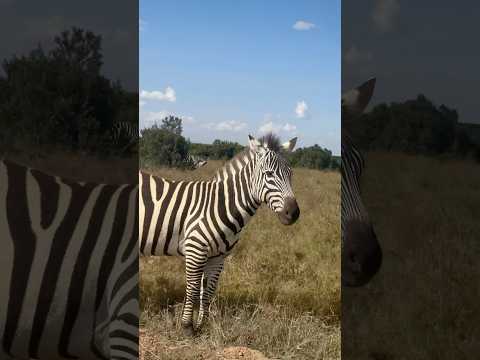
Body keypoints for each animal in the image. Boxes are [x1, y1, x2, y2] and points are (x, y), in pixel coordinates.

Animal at [138, 134, 300, 336]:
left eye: (291, 174)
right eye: (269, 174)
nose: (293, 213)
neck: (220, 205)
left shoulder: (218, 257)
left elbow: (208, 291)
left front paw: (202, 325)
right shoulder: (195, 250)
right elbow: (193, 288)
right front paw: (187, 327)